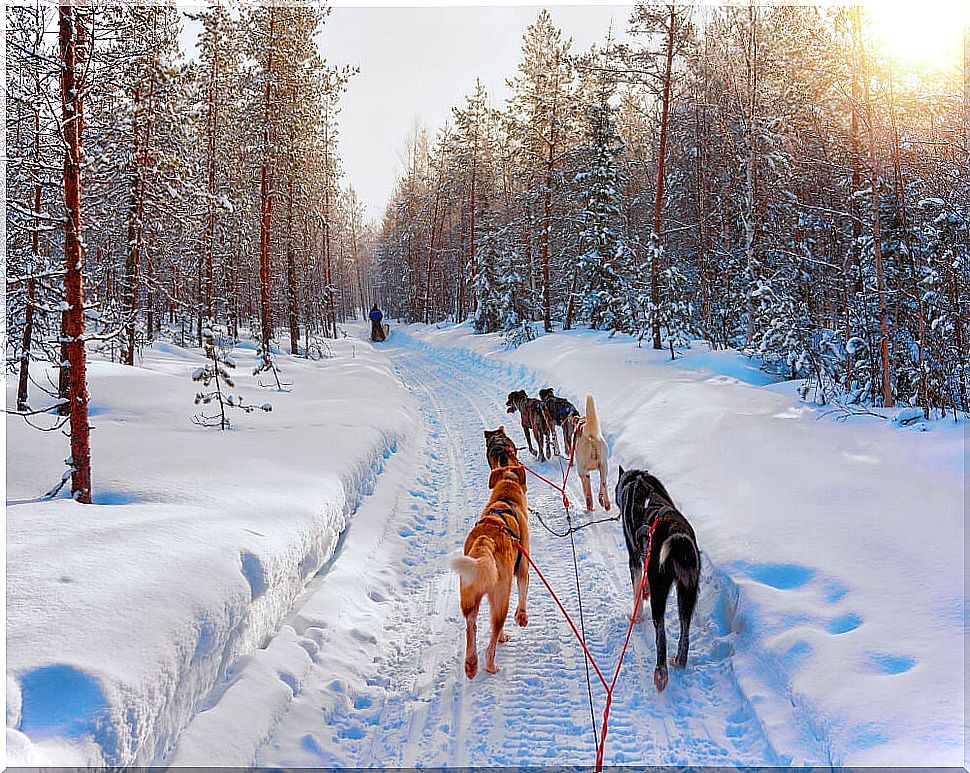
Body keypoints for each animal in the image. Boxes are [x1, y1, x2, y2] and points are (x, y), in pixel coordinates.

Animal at [448, 464, 528, 676]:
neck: (506, 499)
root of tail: (486, 540)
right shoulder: (523, 568)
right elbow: (523, 594)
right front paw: (521, 618)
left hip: (469, 596)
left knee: (471, 625)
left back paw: (471, 664)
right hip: (501, 598)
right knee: (493, 635)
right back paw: (491, 665)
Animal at [616, 464, 700, 692]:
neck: (635, 481)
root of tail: (677, 535)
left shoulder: (634, 558)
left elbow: (637, 588)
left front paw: (636, 615)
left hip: (660, 592)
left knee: (661, 634)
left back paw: (661, 672)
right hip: (687, 593)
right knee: (684, 632)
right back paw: (679, 661)